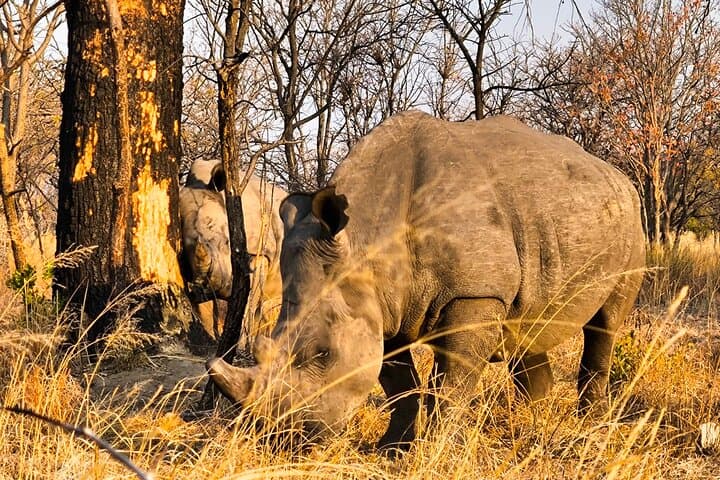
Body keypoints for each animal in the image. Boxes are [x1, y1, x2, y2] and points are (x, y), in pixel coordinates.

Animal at [179, 159, 286, 341]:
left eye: (228, 242)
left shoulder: (261, 253)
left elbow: (247, 302)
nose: (218, 289)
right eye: (185, 250)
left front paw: (239, 341)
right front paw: (214, 339)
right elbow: (204, 313)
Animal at [207, 111, 645, 448]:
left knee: (605, 324)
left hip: (632, 221)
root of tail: (618, 174)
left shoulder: (474, 295)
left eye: (322, 354)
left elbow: (452, 383)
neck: (368, 236)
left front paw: (437, 447)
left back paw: (592, 423)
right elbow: (398, 383)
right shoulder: (384, 305)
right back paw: (531, 415)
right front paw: (391, 448)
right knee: (527, 322)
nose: (281, 439)